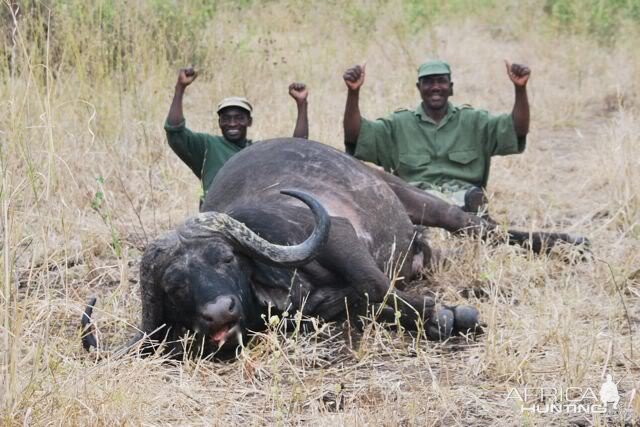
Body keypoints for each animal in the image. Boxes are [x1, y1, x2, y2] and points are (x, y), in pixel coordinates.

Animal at [82, 139, 588, 356]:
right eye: (174, 286)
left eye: (225, 258)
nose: (220, 312)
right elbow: (357, 300)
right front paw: (442, 316)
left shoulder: (338, 234)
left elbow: (373, 287)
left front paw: (451, 315)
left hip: (409, 195)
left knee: (475, 225)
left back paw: (570, 243)